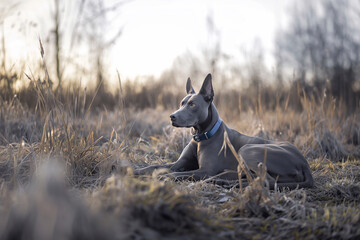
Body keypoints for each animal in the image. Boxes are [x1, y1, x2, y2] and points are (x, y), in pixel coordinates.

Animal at [135, 73, 312, 189]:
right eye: (182, 103)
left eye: (192, 105)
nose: (172, 116)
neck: (203, 136)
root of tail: (304, 163)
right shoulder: (179, 163)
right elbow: (155, 166)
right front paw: (135, 170)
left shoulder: (205, 171)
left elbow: (178, 174)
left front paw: (163, 177)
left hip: (248, 150)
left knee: (266, 181)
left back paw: (222, 181)